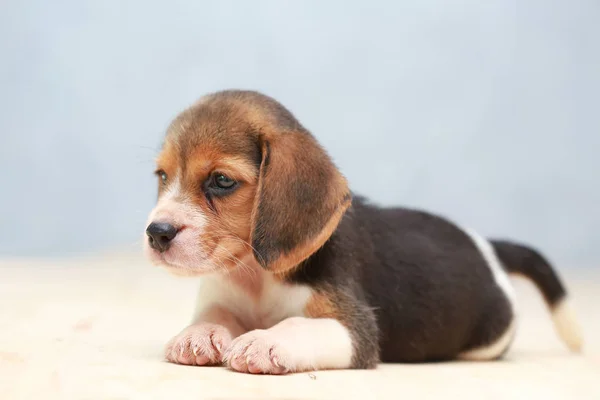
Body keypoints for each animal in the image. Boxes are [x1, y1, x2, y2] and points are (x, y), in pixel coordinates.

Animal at [144, 89, 580, 374]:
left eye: (221, 181)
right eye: (163, 176)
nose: (156, 232)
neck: (256, 275)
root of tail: (488, 246)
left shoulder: (356, 330)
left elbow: (299, 324)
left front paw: (266, 340)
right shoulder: (224, 296)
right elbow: (214, 313)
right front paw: (199, 334)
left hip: (490, 339)